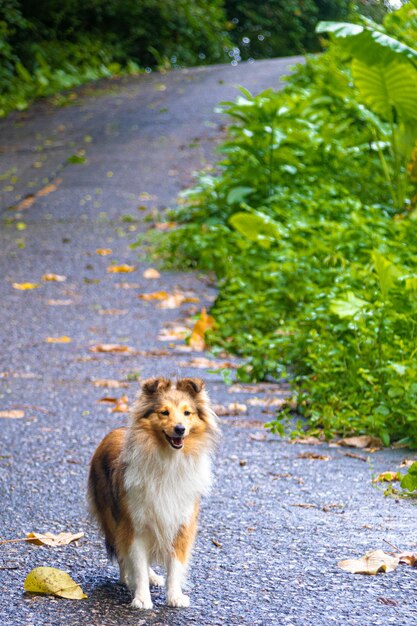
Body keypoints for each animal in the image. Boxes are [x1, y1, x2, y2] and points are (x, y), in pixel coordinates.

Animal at [88, 376, 218, 604]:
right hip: (112, 517)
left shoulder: (180, 524)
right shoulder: (134, 524)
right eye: (164, 412)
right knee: (123, 554)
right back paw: (127, 579)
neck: (168, 461)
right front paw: (141, 599)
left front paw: (175, 596)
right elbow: (137, 564)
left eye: (187, 413)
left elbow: (175, 566)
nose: (180, 429)